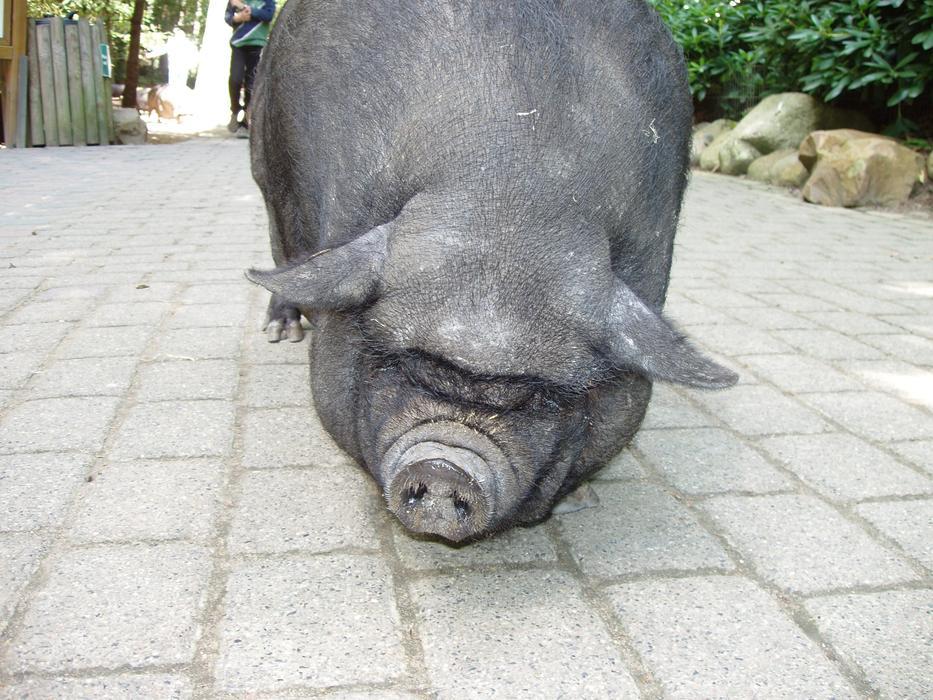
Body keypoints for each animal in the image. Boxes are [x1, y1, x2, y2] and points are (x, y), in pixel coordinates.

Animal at [246, 0, 737, 543]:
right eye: (403, 365)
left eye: (540, 398)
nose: (444, 467)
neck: (509, 196)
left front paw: (580, 500)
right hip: (266, 157)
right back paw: (282, 331)